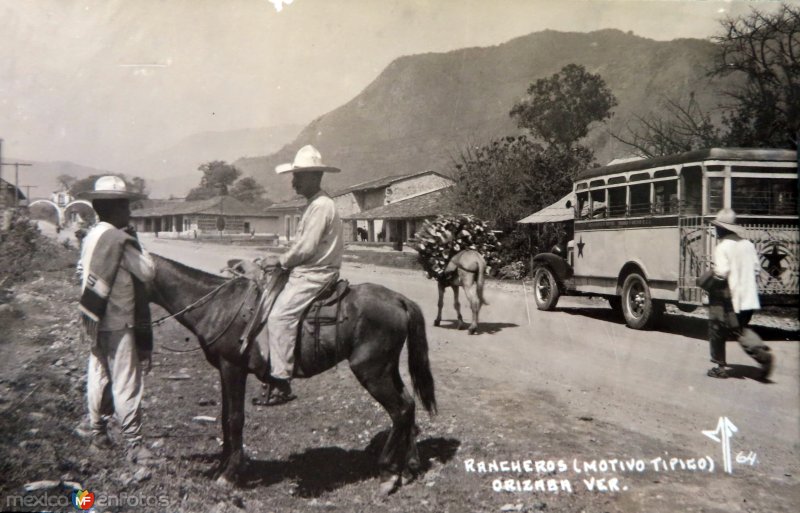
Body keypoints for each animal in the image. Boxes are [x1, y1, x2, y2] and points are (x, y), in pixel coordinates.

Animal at [147, 254, 440, 494]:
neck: (219, 306)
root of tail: (399, 299)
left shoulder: (233, 368)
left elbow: (235, 419)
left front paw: (229, 474)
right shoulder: (224, 369)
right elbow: (223, 417)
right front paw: (221, 466)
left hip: (371, 371)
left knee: (400, 410)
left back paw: (388, 473)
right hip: (387, 368)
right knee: (409, 405)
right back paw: (410, 466)